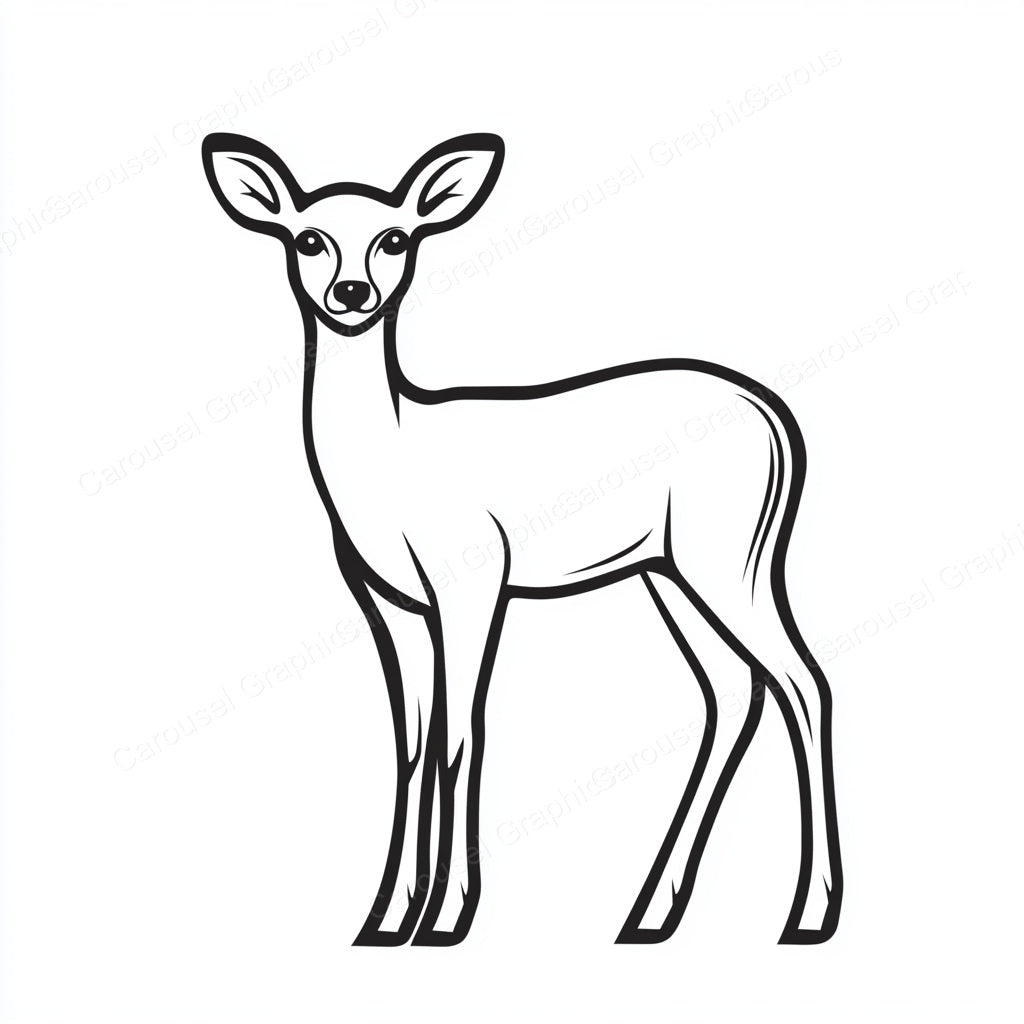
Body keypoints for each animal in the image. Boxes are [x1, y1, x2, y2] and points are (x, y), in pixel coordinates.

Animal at [202, 131, 843, 947]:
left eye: (396, 238)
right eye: (307, 238)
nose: (351, 293)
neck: (390, 459)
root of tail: (773, 418)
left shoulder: (473, 582)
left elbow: (461, 736)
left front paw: (446, 918)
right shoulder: (390, 604)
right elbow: (411, 746)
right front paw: (383, 920)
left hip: (727, 559)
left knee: (803, 682)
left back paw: (808, 914)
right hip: (666, 571)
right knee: (734, 692)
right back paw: (648, 915)